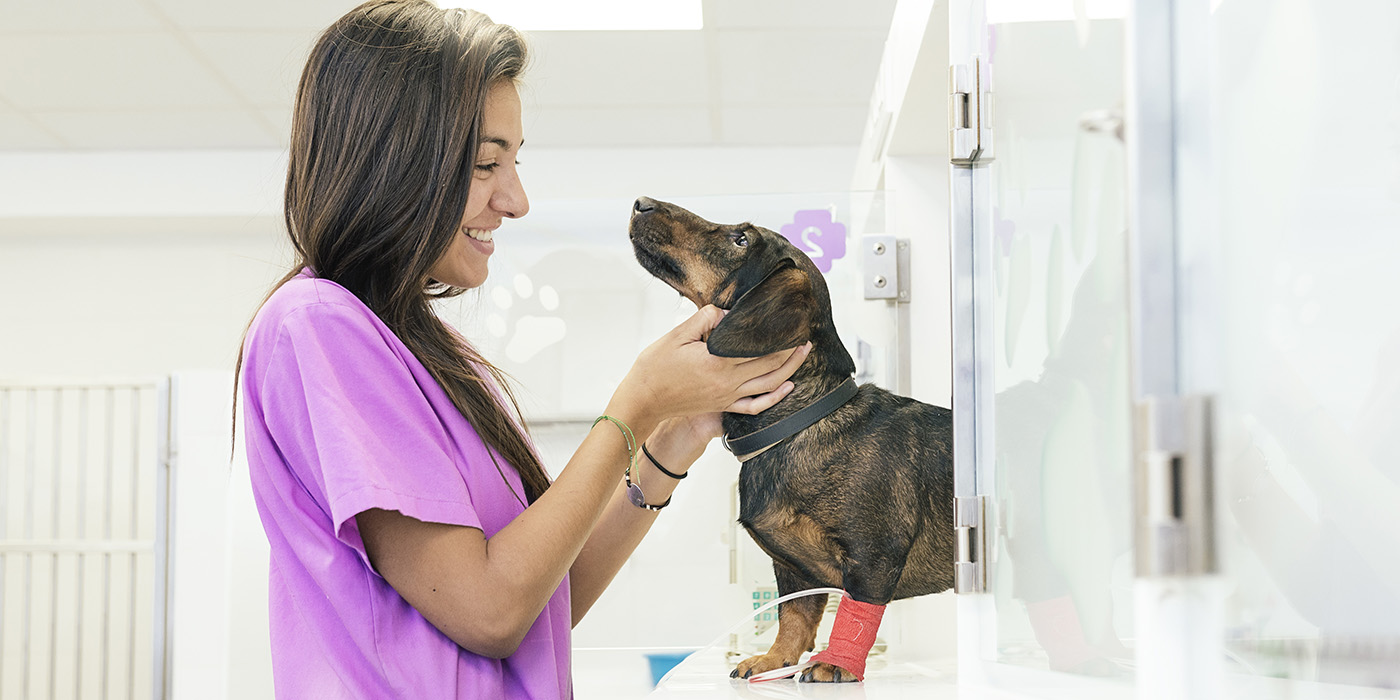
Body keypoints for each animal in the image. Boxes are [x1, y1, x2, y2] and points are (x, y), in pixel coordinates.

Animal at [630, 196, 957, 683]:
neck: (801, 424)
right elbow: (795, 616)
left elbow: (857, 615)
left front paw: (836, 662)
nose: (640, 203)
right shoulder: (792, 571)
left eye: (740, 239)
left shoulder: (873, 556)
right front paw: (774, 659)